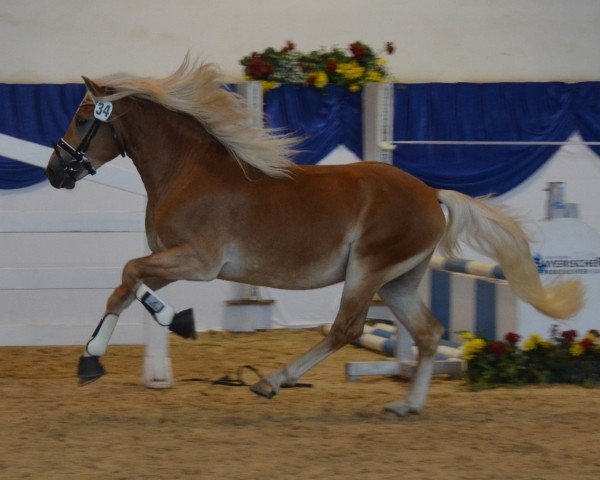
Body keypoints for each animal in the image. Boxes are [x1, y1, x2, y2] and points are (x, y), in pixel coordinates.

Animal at [45, 58, 580, 414]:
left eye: (81, 117)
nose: (55, 172)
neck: (189, 171)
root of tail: (431, 194)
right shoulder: (173, 259)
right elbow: (127, 286)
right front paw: (98, 357)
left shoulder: (198, 261)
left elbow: (128, 276)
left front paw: (158, 329)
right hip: (398, 280)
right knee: (427, 333)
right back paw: (407, 406)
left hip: (368, 269)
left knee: (347, 329)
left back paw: (272, 382)